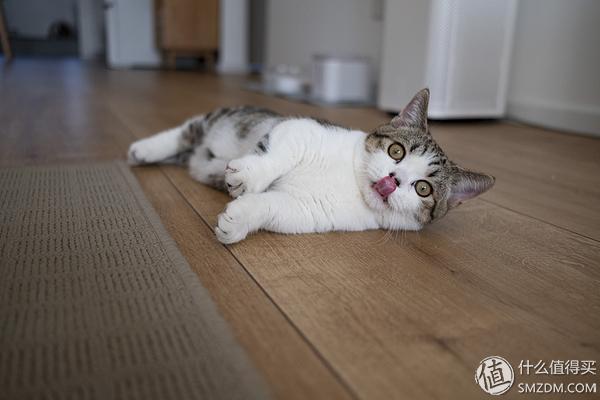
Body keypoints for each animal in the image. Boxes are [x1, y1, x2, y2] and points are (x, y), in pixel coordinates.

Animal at [128, 89, 495, 244]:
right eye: (396, 151)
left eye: (422, 188)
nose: (393, 178)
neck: (350, 181)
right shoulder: (302, 130)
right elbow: (277, 154)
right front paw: (248, 176)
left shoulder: (305, 210)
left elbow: (272, 206)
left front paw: (238, 220)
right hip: (219, 119)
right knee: (186, 131)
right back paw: (143, 149)